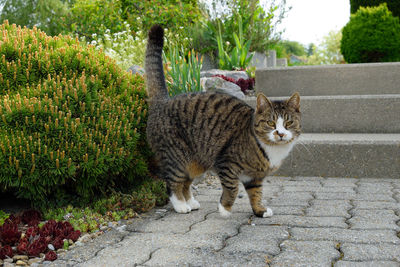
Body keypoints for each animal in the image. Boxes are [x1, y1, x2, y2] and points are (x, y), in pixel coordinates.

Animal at [144, 24, 300, 218]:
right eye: (270, 123)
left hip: (194, 162)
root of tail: (163, 101)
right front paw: (225, 209)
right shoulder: (226, 164)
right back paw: (180, 205)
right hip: (176, 156)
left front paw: (260, 210)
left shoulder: (254, 177)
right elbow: (232, 188)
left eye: (288, 123)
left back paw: (190, 202)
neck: (272, 150)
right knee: (172, 183)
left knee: (186, 182)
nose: (280, 133)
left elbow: (256, 193)